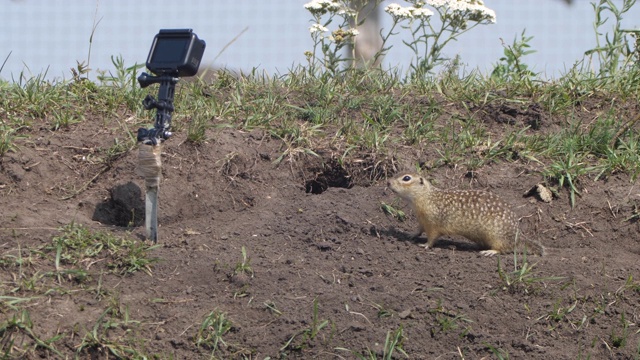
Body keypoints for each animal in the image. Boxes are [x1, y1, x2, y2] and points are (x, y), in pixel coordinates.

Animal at [384, 174, 544, 256]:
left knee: (505, 248)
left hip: (497, 236)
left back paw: (490, 251)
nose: (388, 182)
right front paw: (410, 235)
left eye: (406, 178)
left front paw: (425, 245)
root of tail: (518, 235)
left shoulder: (433, 223)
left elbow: (432, 237)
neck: (427, 197)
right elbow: (418, 230)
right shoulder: (422, 221)